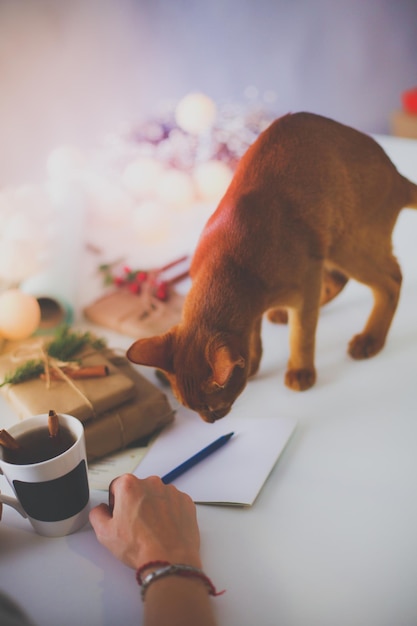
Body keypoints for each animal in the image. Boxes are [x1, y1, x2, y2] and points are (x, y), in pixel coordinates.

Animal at [127, 113, 416, 424]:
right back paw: (284, 314)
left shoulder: (306, 279)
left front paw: (300, 372)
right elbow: (253, 335)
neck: (229, 261)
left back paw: (369, 340)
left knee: (392, 280)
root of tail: (396, 173)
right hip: (333, 249)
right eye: (188, 407)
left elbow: (302, 335)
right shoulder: (258, 304)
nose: (210, 421)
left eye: (214, 407)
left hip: (348, 245)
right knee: (339, 282)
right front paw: (252, 363)